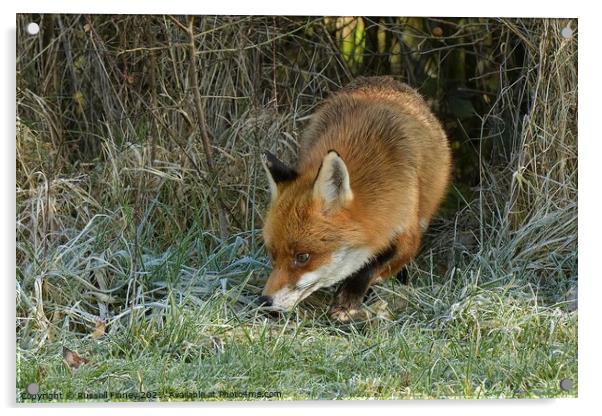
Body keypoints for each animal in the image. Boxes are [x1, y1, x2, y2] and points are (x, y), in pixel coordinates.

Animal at [258, 76, 450, 320]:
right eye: (272, 254)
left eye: (303, 257)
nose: (264, 302)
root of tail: (385, 78)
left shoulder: (408, 231)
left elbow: (371, 267)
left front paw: (347, 301)